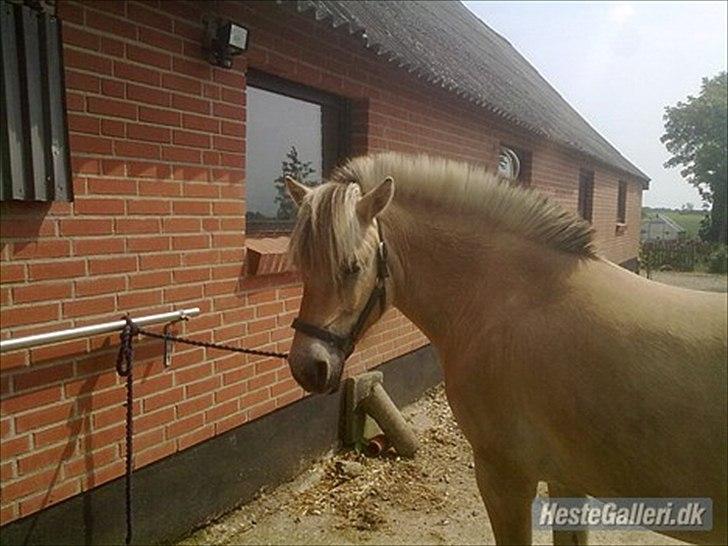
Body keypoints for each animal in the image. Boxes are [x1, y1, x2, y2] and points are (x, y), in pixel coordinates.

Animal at [284, 153, 728, 544]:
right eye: (302, 266)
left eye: (352, 267)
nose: (307, 366)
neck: (510, 299)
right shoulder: (566, 479)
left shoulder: (505, 478)